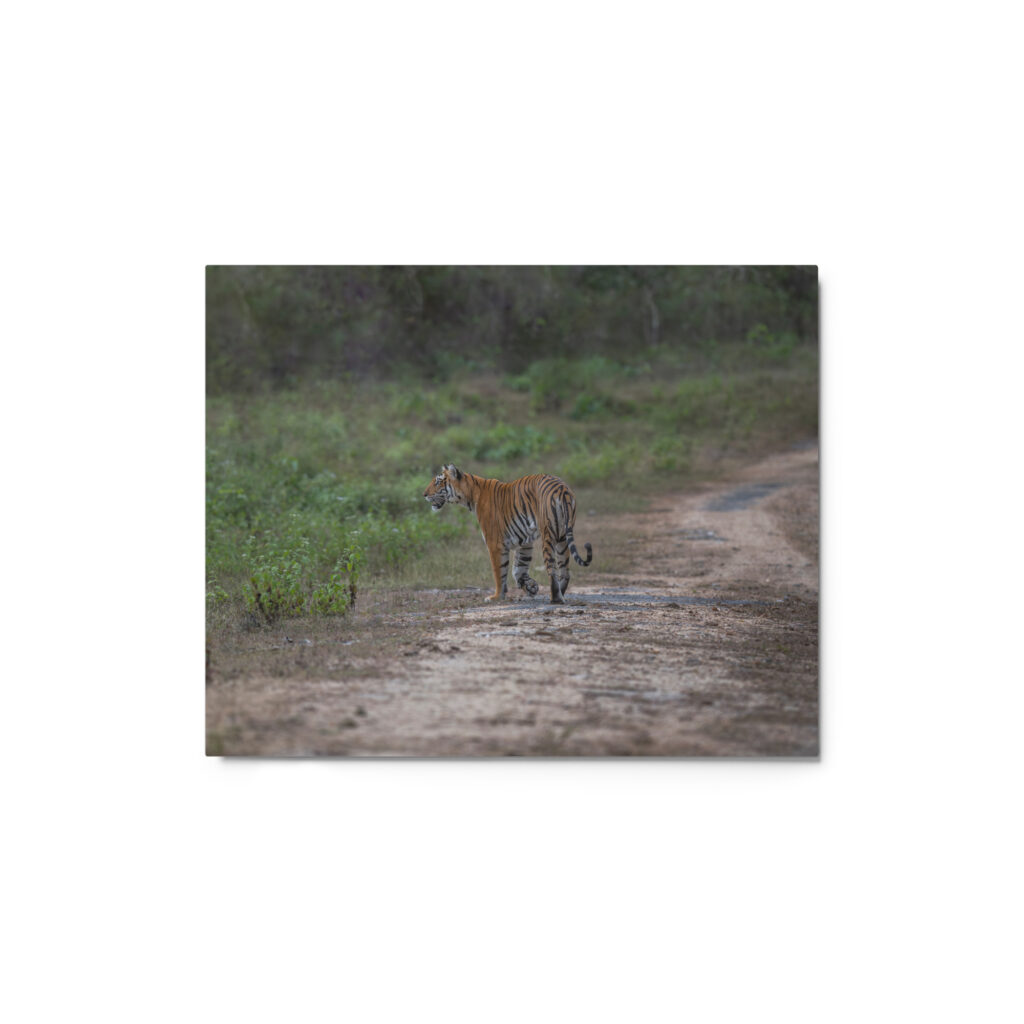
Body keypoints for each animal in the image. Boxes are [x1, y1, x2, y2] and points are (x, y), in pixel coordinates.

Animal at [423, 463, 593, 605]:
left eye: (438, 482)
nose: (424, 494)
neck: (471, 494)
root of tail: (562, 489)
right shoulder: (525, 541)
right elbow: (518, 568)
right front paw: (530, 586)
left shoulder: (495, 544)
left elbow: (499, 571)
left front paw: (497, 596)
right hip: (562, 538)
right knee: (565, 570)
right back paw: (561, 594)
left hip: (549, 535)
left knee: (552, 569)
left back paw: (555, 598)